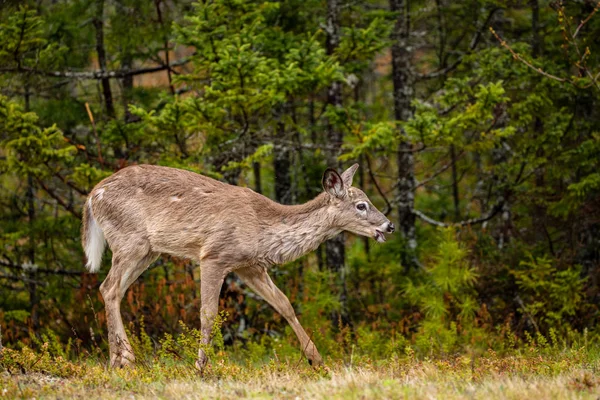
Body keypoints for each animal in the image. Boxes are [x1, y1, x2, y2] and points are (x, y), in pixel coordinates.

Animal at [82, 162, 396, 372]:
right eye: (361, 205)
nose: (389, 226)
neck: (262, 228)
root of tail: (92, 196)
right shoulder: (214, 255)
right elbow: (208, 314)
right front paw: (200, 368)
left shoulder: (250, 266)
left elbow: (285, 304)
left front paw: (316, 360)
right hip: (129, 241)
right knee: (109, 286)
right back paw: (123, 360)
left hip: (148, 250)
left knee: (111, 290)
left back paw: (122, 358)